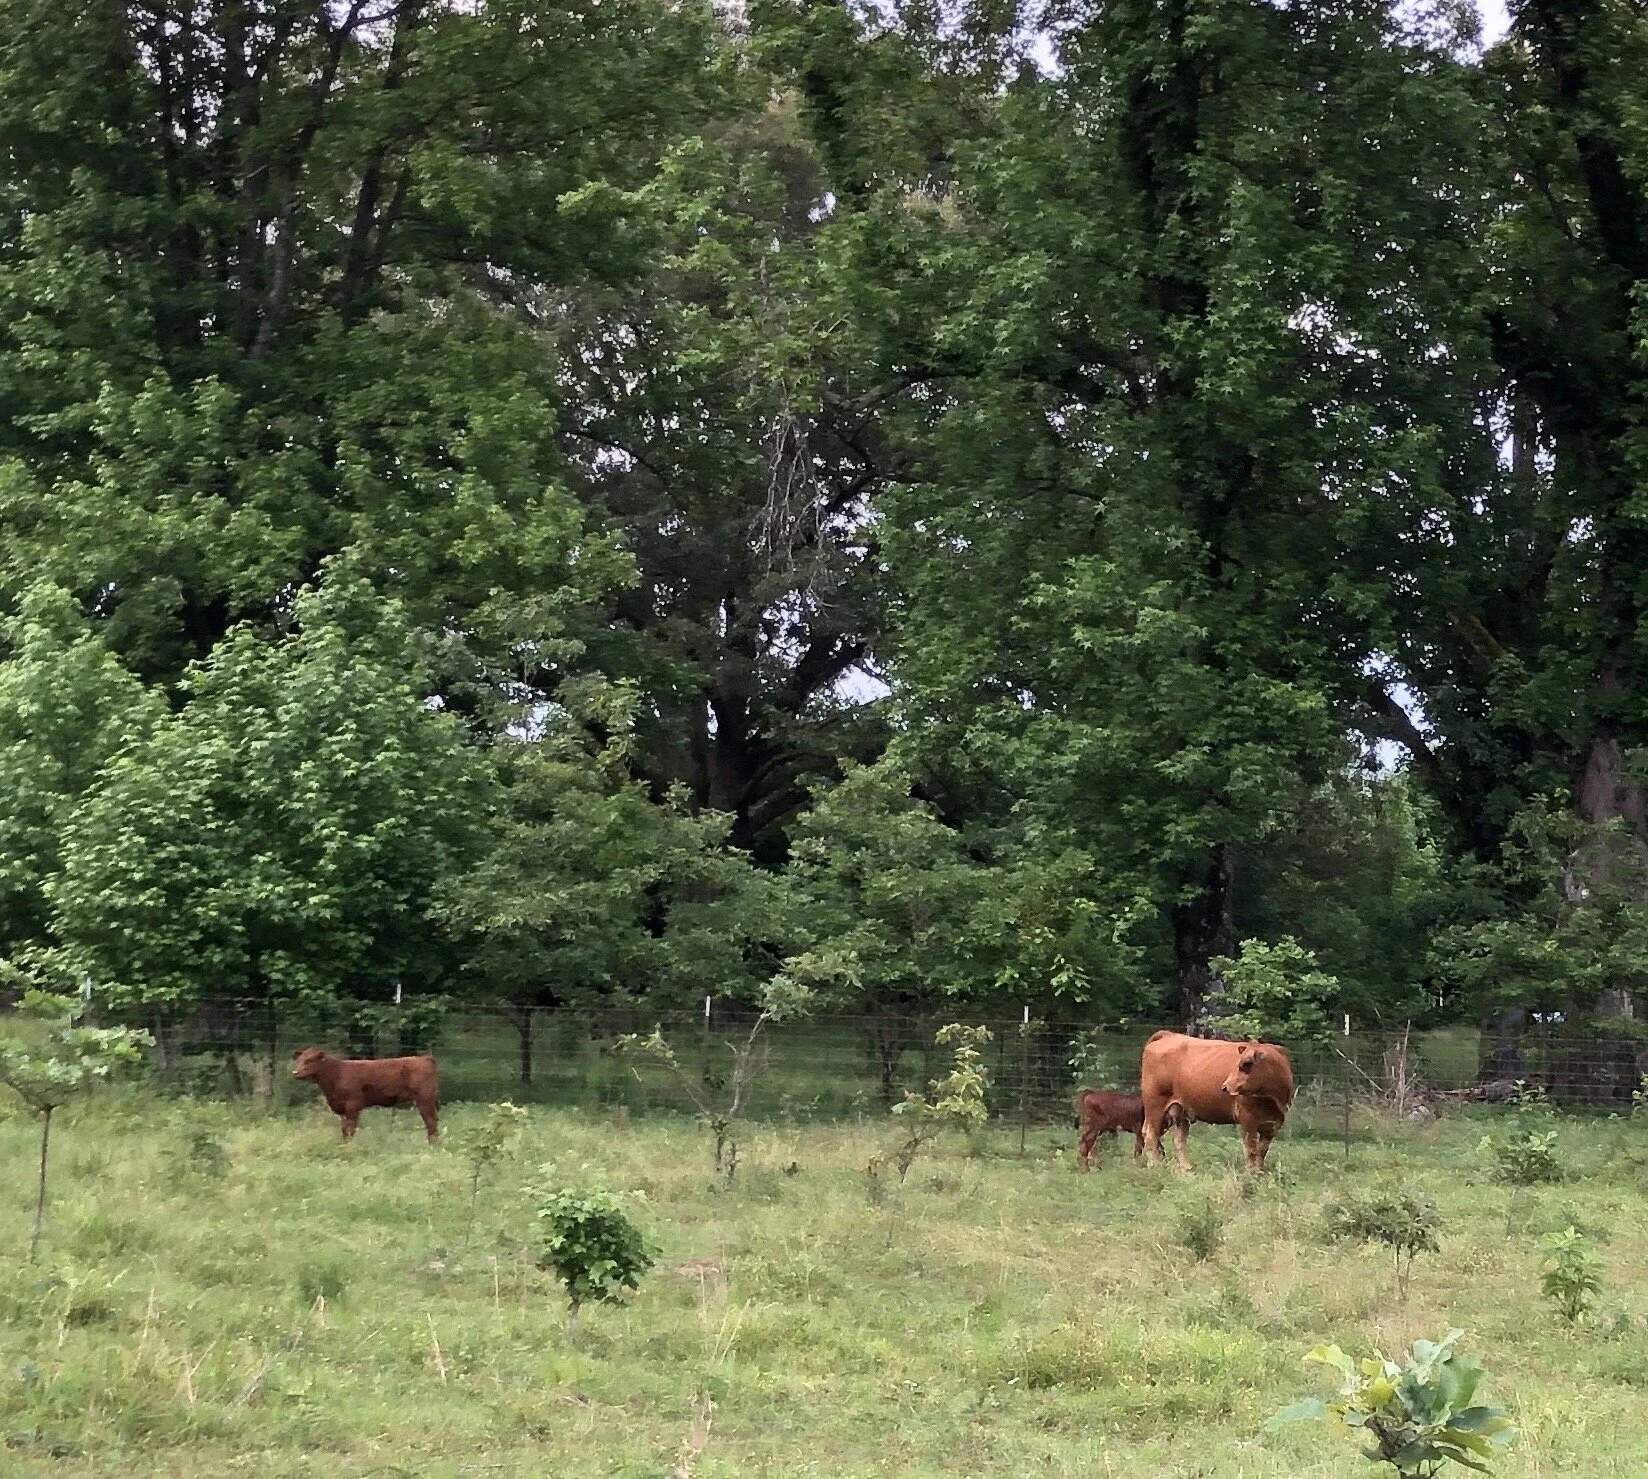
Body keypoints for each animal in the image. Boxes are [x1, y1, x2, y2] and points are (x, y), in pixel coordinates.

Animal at [291, 1046, 440, 1142]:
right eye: (299, 1060)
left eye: (309, 1060)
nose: (296, 1073)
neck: (336, 1073)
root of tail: (424, 1058)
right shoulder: (342, 1108)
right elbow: (344, 1130)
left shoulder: (352, 1106)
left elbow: (350, 1129)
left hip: (425, 1098)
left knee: (431, 1122)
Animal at [1139, 1030, 1295, 1174]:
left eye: (1246, 1064)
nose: (1225, 1086)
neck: (1272, 1100)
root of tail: (1169, 1034)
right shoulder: (1248, 1119)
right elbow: (1251, 1150)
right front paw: (1250, 1175)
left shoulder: (1273, 1124)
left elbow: (1262, 1151)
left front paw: (1260, 1174)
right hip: (1155, 1105)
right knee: (1151, 1135)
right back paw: (1156, 1167)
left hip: (1180, 1111)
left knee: (1179, 1139)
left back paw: (1186, 1170)